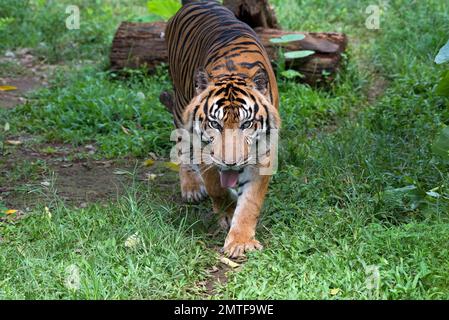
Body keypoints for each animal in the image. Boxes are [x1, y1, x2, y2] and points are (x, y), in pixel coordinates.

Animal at [163, 0, 278, 258]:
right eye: (215, 124)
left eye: (246, 124)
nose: (231, 163)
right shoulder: (204, 148)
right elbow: (215, 185)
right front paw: (227, 211)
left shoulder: (263, 153)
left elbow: (250, 202)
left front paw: (241, 241)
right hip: (180, 105)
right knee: (181, 145)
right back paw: (192, 187)